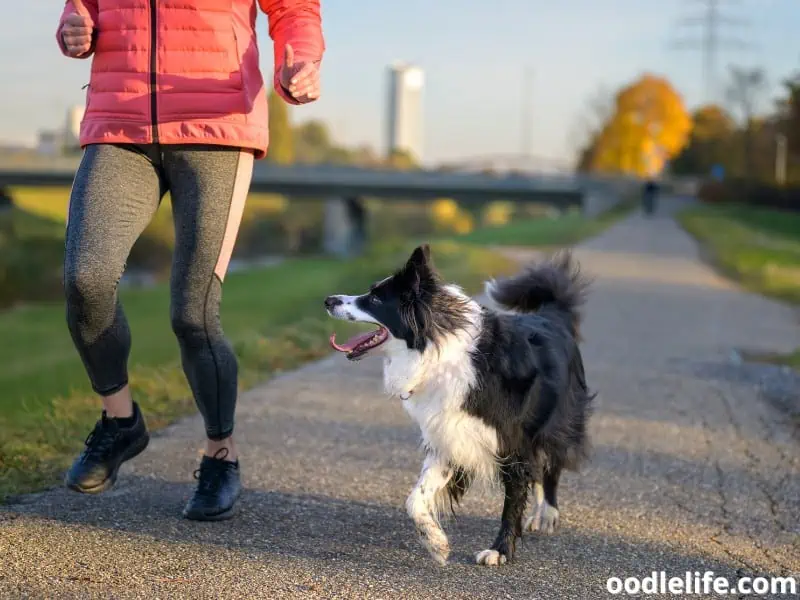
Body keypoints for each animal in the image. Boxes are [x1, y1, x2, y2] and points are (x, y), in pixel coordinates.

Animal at [322, 245, 592, 568]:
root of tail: (552, 313)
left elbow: (511, 503)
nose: (328, 300)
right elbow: (415, 498)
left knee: (551, 462)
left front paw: (500, 550)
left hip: (558, 419)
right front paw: (436, 543)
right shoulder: (450, 435)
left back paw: (548, 512)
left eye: (375, 298)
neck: (436, 349)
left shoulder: (513, 443)